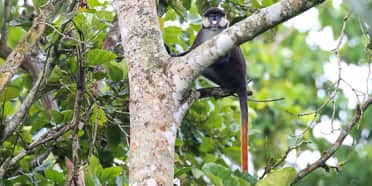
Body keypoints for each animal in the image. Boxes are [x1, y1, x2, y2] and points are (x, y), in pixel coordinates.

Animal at [174, 7, 250, 173]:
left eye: (217, 16)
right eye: (211, 16)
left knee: (216, 65)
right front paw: (173, 54)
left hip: (233, 73)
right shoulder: (200, 34)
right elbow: (190, 52)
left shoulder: (227, 34)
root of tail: (243, 80)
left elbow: (224, 57)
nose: (214, 20)